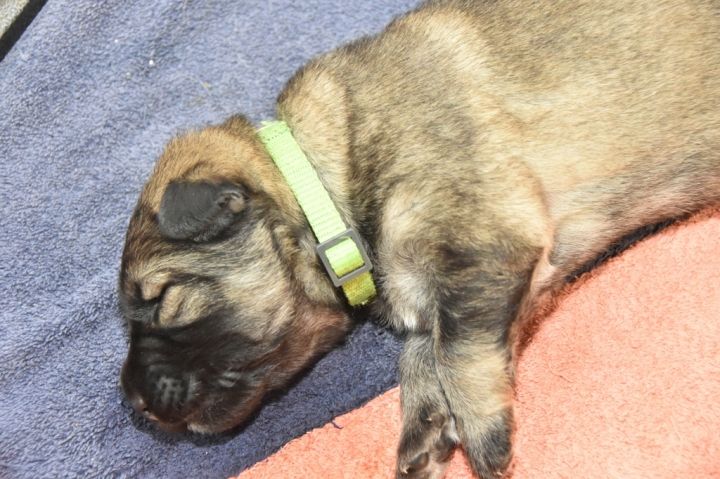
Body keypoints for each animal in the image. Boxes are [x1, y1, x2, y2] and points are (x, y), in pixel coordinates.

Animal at [118, 1, 720, 477]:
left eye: (163, 299)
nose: (133, 404)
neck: (324, 178)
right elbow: (425, 344)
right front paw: (426, 425)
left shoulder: (486, 240)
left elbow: (456, 346)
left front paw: (483, 431)